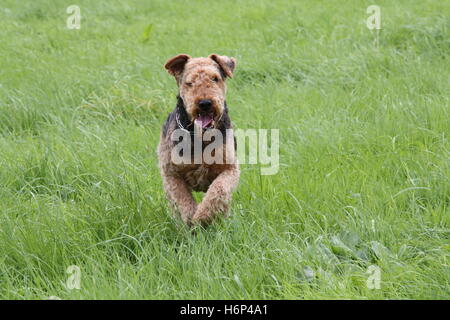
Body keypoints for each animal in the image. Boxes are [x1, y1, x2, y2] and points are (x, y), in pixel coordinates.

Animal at [159, 53, 243, 226]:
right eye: (189, 82)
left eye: (215, 78)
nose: (205, 103)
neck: (201, 137)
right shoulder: (171, 173)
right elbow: (183, 199)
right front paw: (192, 218)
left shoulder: (230, 169)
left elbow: (218, 190)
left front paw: (202, 216)